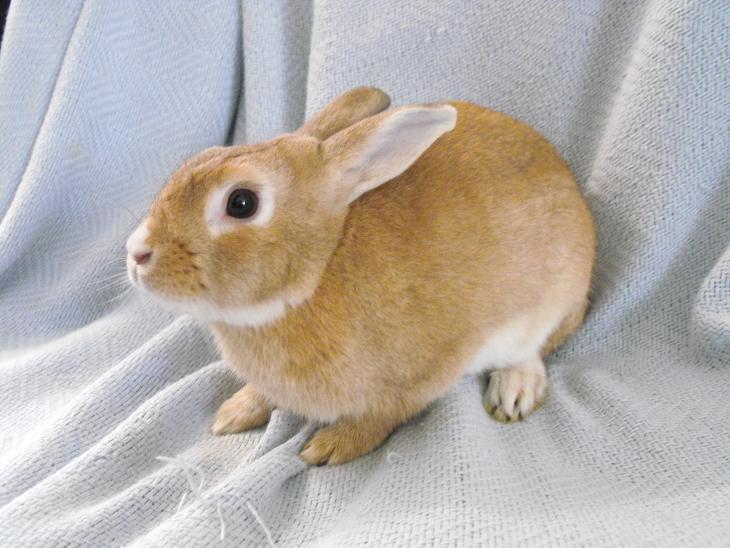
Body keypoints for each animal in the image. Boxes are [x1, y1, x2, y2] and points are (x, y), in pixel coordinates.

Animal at [126, 87, 596, 465]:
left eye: (241, 203)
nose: (136, 253)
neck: (317, 273)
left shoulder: (418, 378)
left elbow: (382, 417)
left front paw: (330, 447)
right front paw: (234, 413)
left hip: (550, 306)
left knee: (536, 349)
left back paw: (514, 391)